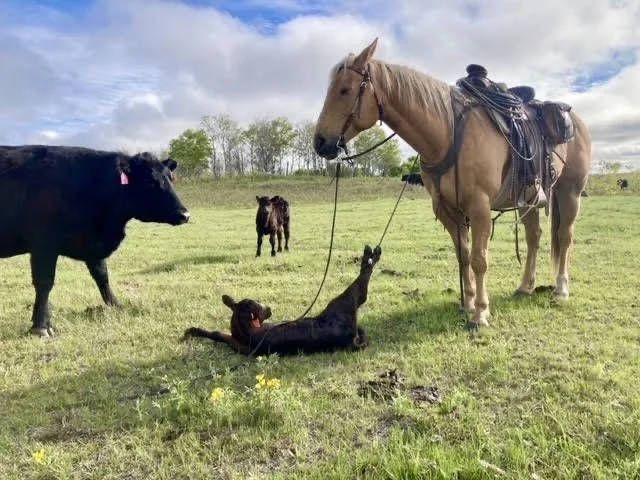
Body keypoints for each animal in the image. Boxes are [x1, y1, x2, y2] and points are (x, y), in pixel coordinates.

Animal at [0, 145, 190, 337]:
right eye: (149, 180)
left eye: (171, 178)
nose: (184, 214)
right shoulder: (44, 245)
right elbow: (45, 282)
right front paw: (41, 326)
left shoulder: (92, 247)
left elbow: (102, 276)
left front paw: (116, 305)